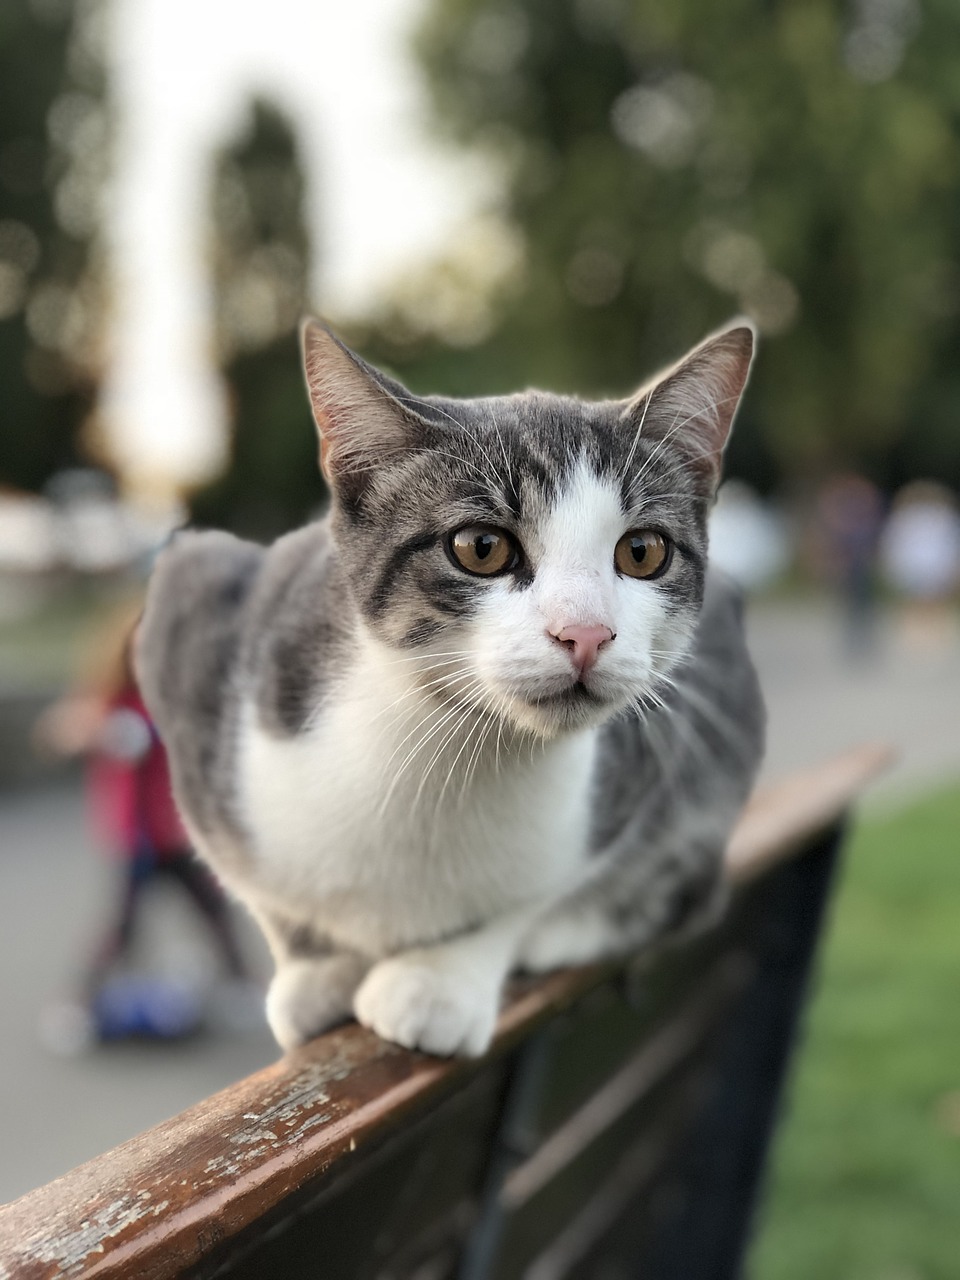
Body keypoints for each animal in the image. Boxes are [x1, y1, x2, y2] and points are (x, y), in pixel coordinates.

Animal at [135, 320, 768, 1059]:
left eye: (643, 552)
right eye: (480, 548)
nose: (585, 633)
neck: (446, 758)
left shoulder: (644, 761)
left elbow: (531, 895)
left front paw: (438, 979)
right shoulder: (194, 612)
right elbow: (262, 895)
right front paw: (316, 971)